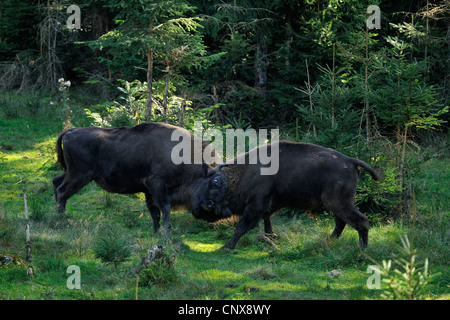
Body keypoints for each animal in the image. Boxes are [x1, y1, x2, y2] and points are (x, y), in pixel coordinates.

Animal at [52, 122, 223, 235]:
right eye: (213, 183)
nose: (214, 213)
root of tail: (69, 132)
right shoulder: (157, 185)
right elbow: (164, 208)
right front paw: (166, 234)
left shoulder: (149, 191)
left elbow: (155, 212)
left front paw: (156, 232)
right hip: (80, 176)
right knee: (62, 192)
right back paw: (61, 220)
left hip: (71, 173)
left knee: (56, 182)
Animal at [200, 141, 380, 250]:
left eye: (215, 184)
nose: (205, 204)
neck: (247, 170)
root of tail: (350, 161)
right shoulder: (270, 204)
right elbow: (267, 220)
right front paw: (271, 236)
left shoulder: (255, 205)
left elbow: (242, 226)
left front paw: (226, 246)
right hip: (337, 204)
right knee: (341, 222)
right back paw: (330, 241)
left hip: (338, 203)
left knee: (360, 221)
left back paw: (362, 248)